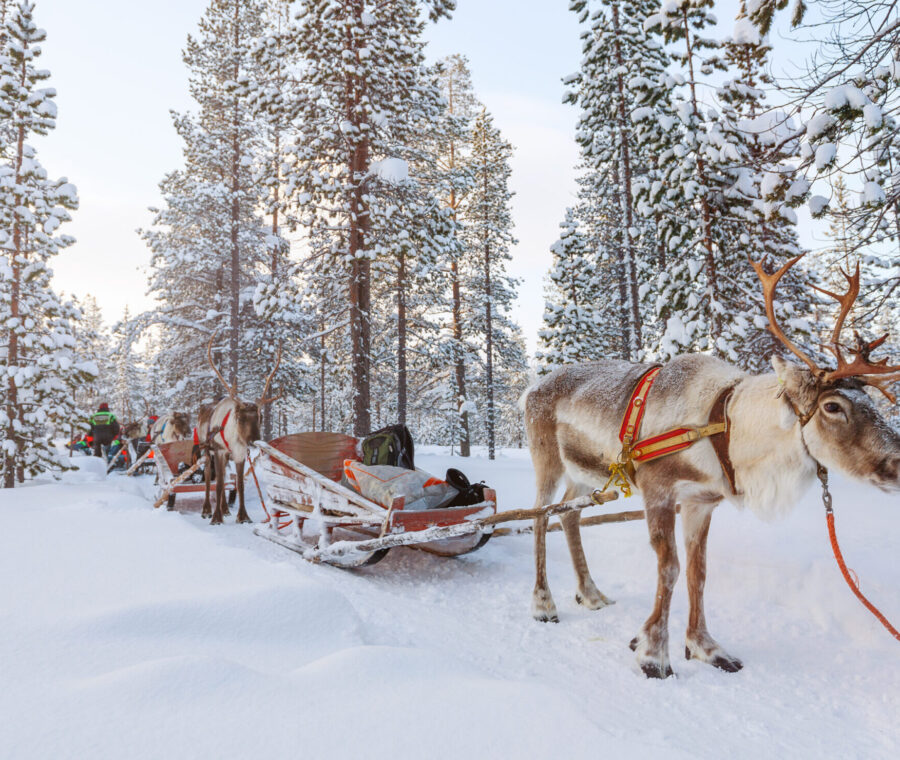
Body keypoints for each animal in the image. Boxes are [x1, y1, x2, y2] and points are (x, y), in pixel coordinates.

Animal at [199, 335, 281, 526]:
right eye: (241, 418)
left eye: (260, 417)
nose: (254, 441)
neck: (234, 438)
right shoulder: (219, 451)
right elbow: (218, 484)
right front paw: (216, 518)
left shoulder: (239, 453)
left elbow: (240, 484)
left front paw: (243, 516)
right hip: (207, 450)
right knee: (209, 476)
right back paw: (207, 510)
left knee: (223, 477)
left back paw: (225, 509)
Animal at [522, 255, 900, 679]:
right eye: (833, 406)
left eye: (871, 403)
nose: (898, 460)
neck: (725, 427)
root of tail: (530, 388)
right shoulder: (658, 490)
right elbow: (669, 569)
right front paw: (654, 654)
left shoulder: (701, 501)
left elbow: (698, 573)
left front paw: (705, 647)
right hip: (547, 460)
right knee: (540, 515)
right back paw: (543, 604)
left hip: (586, 474)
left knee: (568, 514)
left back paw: (591, 594)